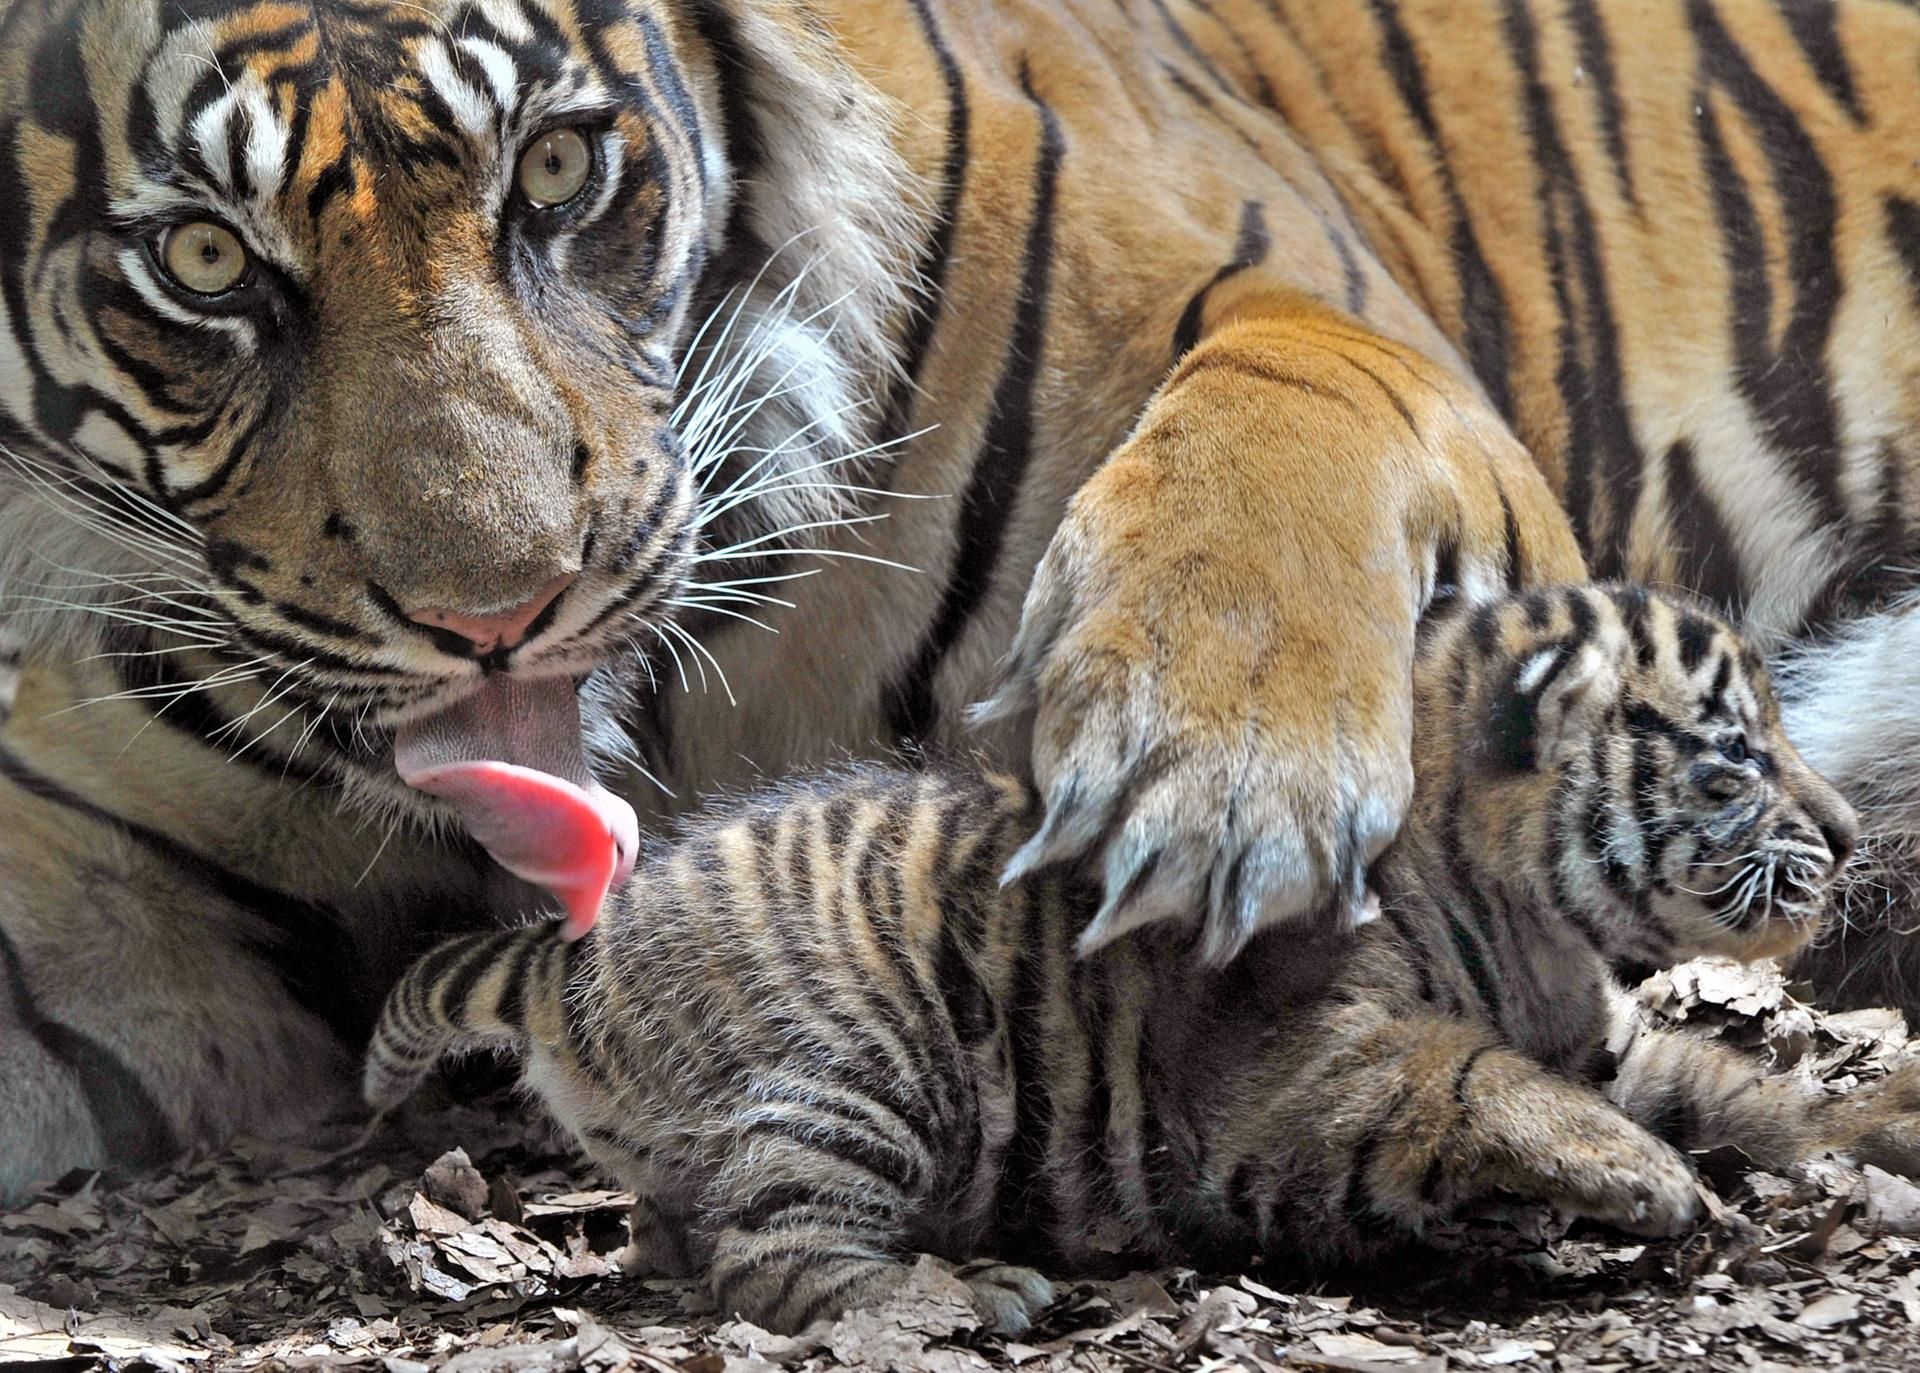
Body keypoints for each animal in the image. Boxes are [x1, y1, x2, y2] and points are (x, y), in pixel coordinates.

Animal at [9, 0, 1920, 1198]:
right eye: (202, 262)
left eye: (555, 170)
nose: (503, 613)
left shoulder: (1319, 304)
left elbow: (1285, 400)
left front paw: (1217, 779)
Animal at [362, 584, 1919, 1336]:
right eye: (1734, 760)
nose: (1851, 831)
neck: (1538, 922)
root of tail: (577, 959)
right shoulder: (1300, 1068)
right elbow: (1480, 1077)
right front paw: (1646, 1177)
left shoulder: (1611, 1035)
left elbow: (1739, 1084)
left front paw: (1876, 1123)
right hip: (854, 1075)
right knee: (774, 1260)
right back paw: (963, 1296)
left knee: (684, 1240)